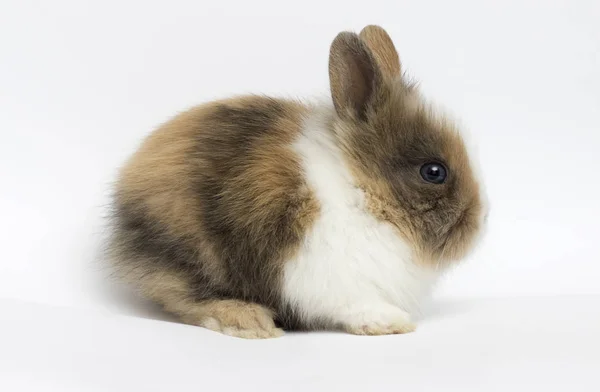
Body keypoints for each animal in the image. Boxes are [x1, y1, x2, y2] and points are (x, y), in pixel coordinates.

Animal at [108, 24, 490, 338]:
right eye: (433, 171)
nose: (481, 221)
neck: (363, 192)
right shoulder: (326, 272)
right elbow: (354, 303)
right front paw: (390, 322)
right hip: (191, 254)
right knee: (186, 299)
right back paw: (250, 321)